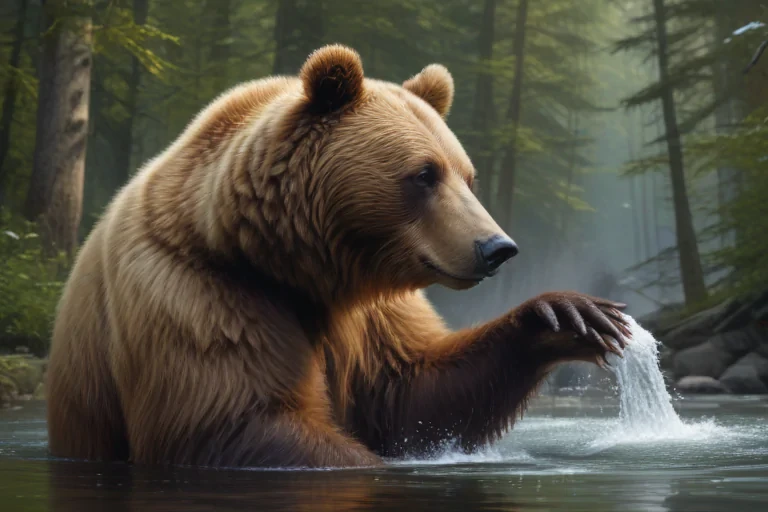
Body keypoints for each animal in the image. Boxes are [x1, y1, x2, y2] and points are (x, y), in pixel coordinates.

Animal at [45, 44, 631, 468]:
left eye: (467, 176)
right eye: (424, 174)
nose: (497, 248)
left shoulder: (369, 310)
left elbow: (414, 396)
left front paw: (571, 315)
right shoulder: (199, 297)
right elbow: (235, 420)